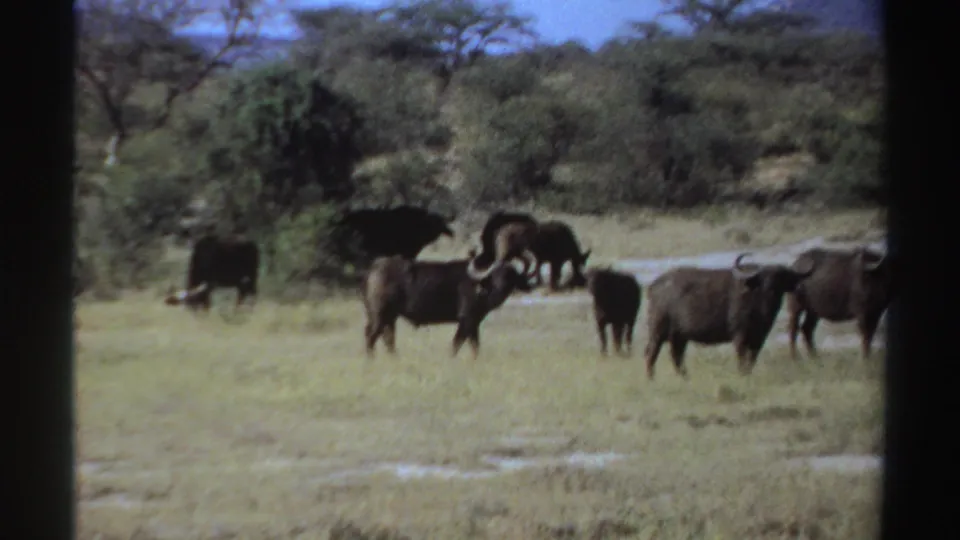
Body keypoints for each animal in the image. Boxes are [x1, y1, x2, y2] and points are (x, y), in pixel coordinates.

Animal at [361, 252, 535, 359]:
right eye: (495, 275)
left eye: (511, 275)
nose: (501, 288)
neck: (480, 287)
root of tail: (375, 268)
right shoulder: (467, 320)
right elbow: (458, 343)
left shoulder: (474, 324)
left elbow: (475, 346)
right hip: (380, 315)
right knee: (371, 336)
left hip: (390, 317)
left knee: (388, 338)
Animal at [644, 253, 816, 378]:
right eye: (763, 278)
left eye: (782, 278)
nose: (770, 289)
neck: (761, 306)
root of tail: (654, 286)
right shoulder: (740, 335)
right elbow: (742, 357)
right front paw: (742, 374)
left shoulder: (759, 338)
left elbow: (752, 359)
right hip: (657, 331)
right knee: (651, 354)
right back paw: (651, 378)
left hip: (679, 336)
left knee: (676, 356)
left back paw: (685, 377)